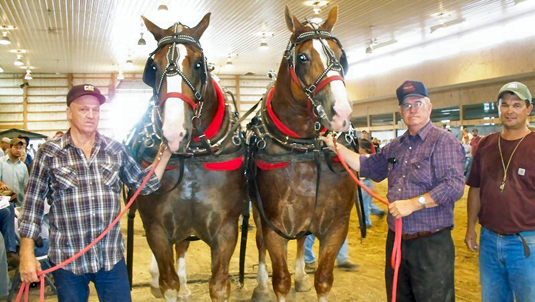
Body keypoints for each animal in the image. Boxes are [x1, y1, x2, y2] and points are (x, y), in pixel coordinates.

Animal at [129, 14, 248, 302]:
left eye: (197, 64)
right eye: (154, 67)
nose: (174, 134)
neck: (192, 155)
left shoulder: (226, 230)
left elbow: (218, 286)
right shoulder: (157, 229)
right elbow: (168, 282)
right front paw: (164, 282)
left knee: (182, 244)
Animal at [249, 6, 358, 302]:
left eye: (341, 57)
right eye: (303, 57)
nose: (341, 112)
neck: (306, 150)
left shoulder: (337, 226)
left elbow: (323, 280)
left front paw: (306, 279)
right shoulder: (273, 225)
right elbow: (280, 281)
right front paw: (271, 285)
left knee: (300, 239)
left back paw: (301, 277)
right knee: (260, 244)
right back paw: (260, 286)